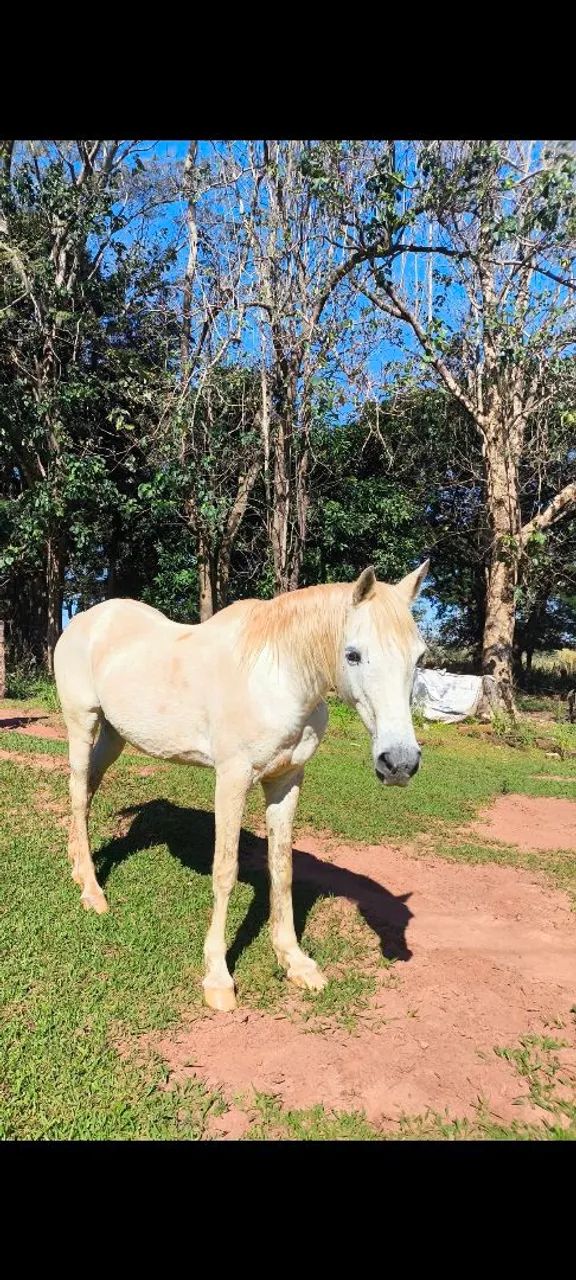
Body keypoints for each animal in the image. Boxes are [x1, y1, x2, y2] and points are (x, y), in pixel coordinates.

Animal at [53, 561, 429, 1011]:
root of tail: (84, 619)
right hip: (82, 723)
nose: (399, 763)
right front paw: (217, 977)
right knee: (78, 793)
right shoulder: (232, 779)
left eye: (420, 657)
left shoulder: (285, 782)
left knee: (87, 790)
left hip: (114, 735)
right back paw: (93, 893)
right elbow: (225, 871)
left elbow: (282, 869)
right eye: (353, 654)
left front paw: (295, 961)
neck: (277, 679)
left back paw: (78, 869)